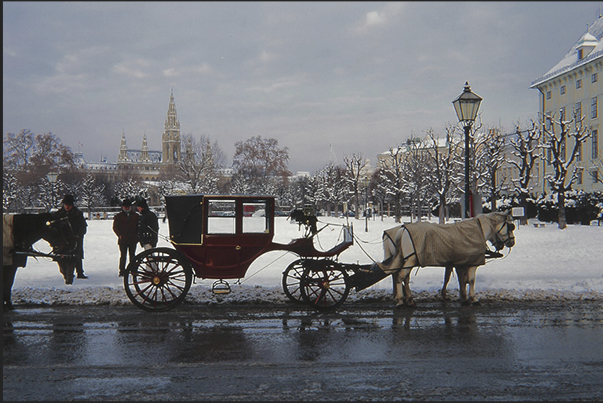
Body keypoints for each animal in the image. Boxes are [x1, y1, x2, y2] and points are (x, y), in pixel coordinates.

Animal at [380, 213, 516, 308]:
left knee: (404, 278)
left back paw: (409, 300)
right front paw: (472, 299)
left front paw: (462, 298)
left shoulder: (458, 263)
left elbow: (459, 280)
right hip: (409, 261)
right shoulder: (472, 263)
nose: (512, 242)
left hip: (408, 261)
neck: (478, 231)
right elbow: (470, 280)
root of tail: (402, 230)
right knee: (400, 277)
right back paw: (400, 301)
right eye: (511, 227)